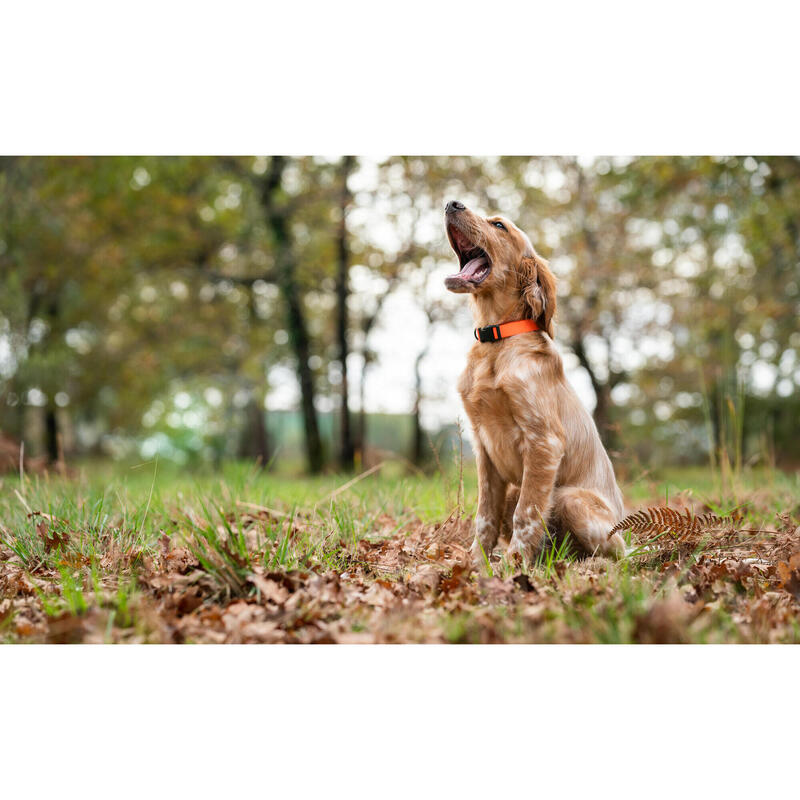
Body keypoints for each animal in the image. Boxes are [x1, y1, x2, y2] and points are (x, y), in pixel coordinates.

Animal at [444, 199, 624, 564]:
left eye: (498, 225)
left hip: (570, 498)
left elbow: (526, 514)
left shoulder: (544, 442)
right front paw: (476, 563)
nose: (451, 203)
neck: (497, 340)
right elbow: (485, 516)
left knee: (618, 552)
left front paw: (513, 565)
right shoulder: (483, 447)